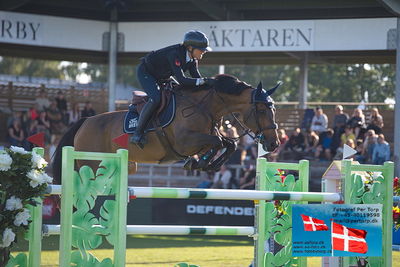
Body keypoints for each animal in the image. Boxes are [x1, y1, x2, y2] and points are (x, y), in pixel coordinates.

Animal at [52, 74, 278, 185]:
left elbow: (229, 144)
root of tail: (85, 121)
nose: (273, 144)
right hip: (91, 162)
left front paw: (205, 164)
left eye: (273, 109)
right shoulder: (185, 142)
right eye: (262, 110)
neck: (204, 107)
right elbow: (220, 142)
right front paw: (201, 163)